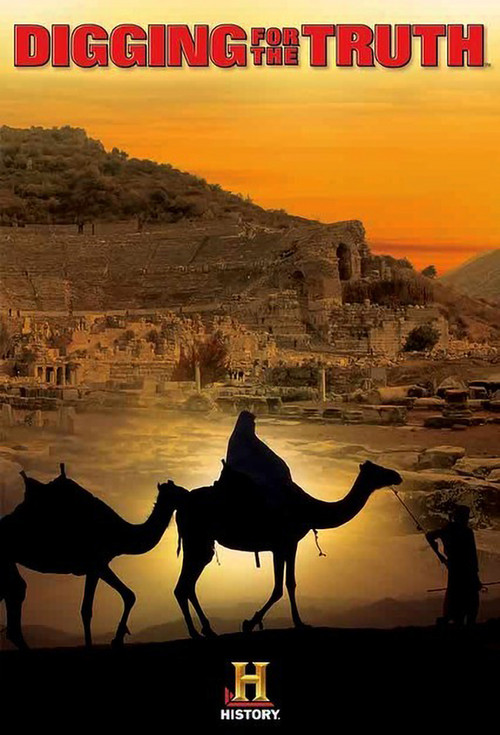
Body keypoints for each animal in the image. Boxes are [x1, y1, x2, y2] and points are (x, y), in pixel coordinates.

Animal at [0, 464, 186, 650]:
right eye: (176, 490)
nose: (188, 493)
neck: (120, 534)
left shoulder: (99, 566)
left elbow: (128, 595)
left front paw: (117, 638)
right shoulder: (96, 563)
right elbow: (89, 609)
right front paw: (108, 640)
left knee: (15, 589)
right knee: (15, 589)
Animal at [165, 460, 402, 638]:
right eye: (378, 469)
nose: (396, 475)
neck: (310, 508)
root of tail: (181, 505)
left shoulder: (289, 544)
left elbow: (290, 583)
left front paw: (297, 622)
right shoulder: (282, 543)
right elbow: (280, 587)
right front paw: (252, 623)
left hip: (200, 543)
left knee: (187, 585)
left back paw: (206, 630)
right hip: (196, 539)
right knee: (183, 586)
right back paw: (197, 632)